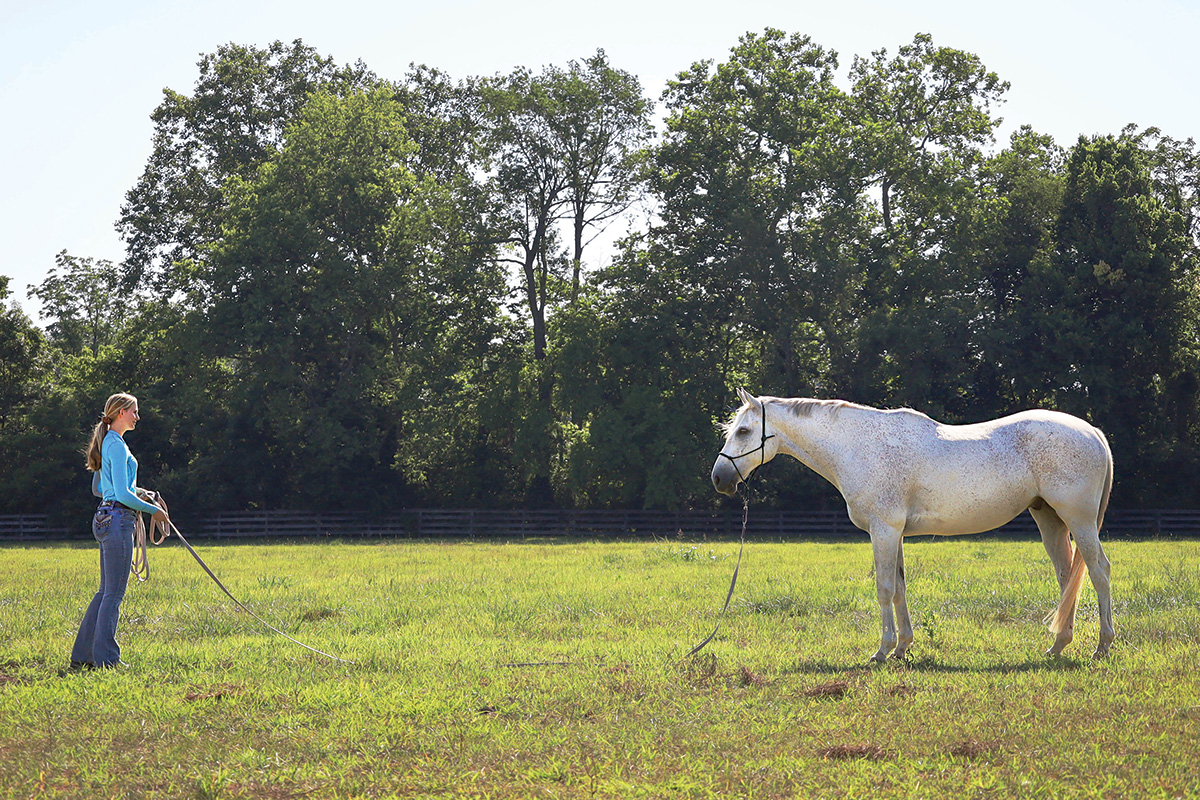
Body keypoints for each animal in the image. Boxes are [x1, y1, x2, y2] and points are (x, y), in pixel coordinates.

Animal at [711, 388, 1115, 663]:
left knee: (1098, 572)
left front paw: (882, 651)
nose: (719, 479)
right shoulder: (895, 533)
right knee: (1067, 578)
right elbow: (901, 588)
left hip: (1077, 520)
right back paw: (1058, 645)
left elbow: (885, 589)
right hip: (1049, 519)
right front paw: (903, 647)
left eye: (744, 431)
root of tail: (1092, 432)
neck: (859, 447)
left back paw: (1102, 646)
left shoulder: (884, 529)